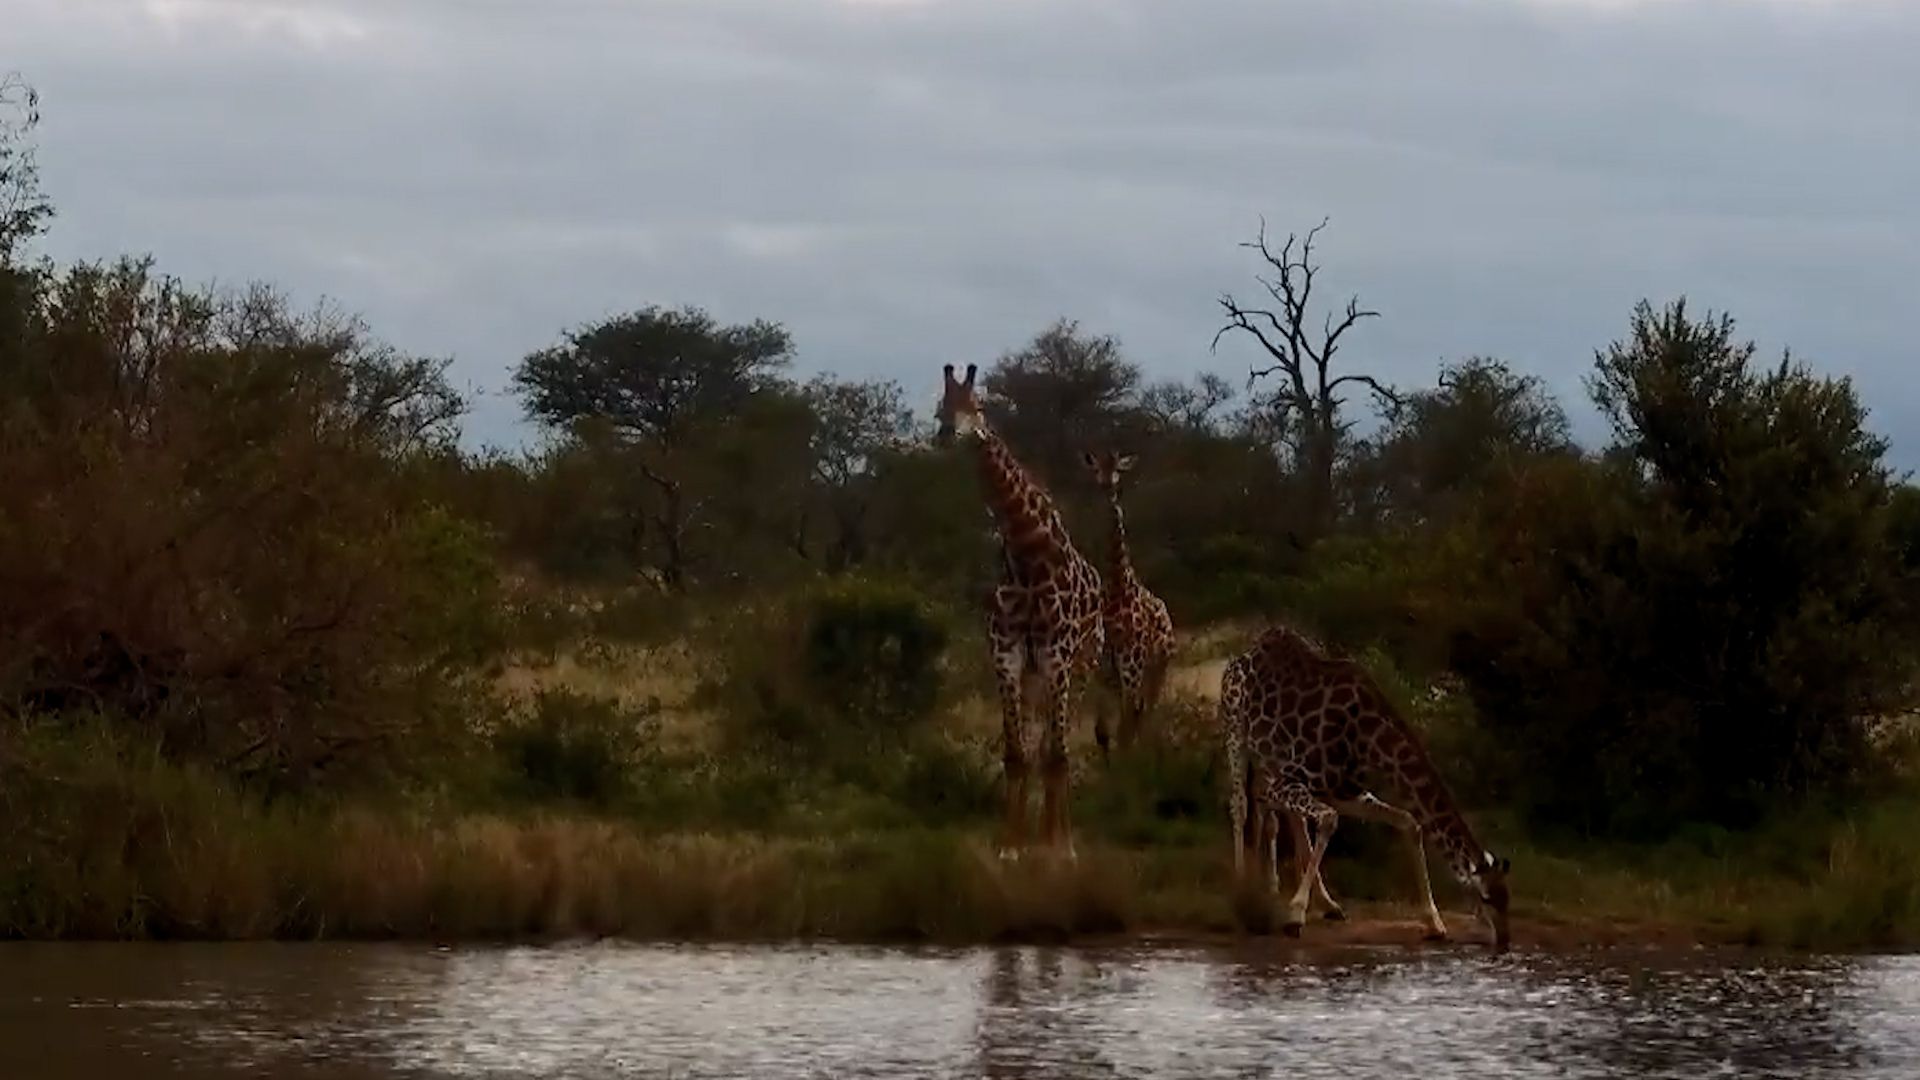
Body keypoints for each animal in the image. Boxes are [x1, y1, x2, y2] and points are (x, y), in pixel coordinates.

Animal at [937, 362, 1106, 860]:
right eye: (941, 405)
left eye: (976, 405)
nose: (947, 434)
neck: (1029, 553)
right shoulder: (1008, 653)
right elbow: (1016, 754)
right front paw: (1010, 845)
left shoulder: (1058, 656)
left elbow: (1057, 755)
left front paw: (1059, 849)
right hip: (1035, 677)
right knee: (1037, 744)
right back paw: (1039, 834)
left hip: (1082, 666)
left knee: (1058, 747)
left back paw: (1058, 835)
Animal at [1080, 450, 1176, 758]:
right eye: (1096, 468)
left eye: (1118, 469)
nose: (1106, 484)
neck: (1118, 585)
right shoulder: (1102, 670)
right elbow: (1102, 732)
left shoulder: (1131, 667)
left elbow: (1123, 730)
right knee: (1135, 717)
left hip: (1157, 670)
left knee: (1145, 716)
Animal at [1227, 624, 1512, 950]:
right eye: (1485, 898)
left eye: (1507, 899)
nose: (1505, 941)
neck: (1368, 741)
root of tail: (1248, 651)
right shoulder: (1289, 782)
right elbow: (1327, 820)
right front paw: (1295, 915)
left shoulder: (1342, 791)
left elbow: (1410, 822)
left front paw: (1434, 923)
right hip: (1235, 731)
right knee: (1240, 804)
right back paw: (1242, 885)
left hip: (1270, 761)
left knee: (1285, 817)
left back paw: (1303, 897)